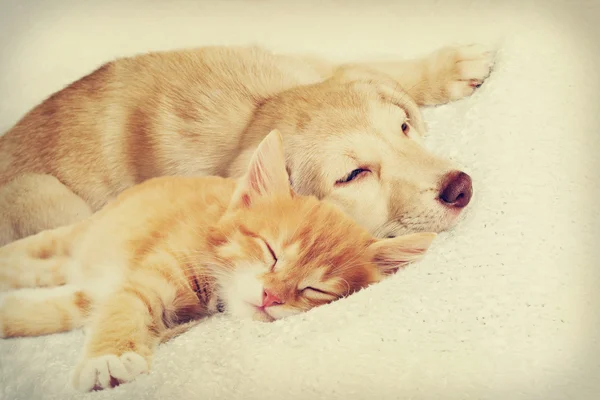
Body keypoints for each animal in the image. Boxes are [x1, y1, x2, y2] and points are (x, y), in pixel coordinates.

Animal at [0, 43, 492, 244]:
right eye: (353, 175)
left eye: (403, 129)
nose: (461, 188)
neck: (255, 108)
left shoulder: (308, 64)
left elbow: (374, 68)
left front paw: (448, 66)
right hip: (43, 196)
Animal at [0, 130, 434, 392]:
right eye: (270, 251)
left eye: (314, 289)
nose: (271, 297)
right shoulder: (146, 277)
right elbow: (124, 309)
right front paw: (107, 359)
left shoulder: (99, 294)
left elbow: (51, 314)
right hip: (78, 235)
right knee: (40, 249)